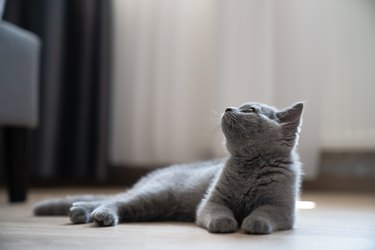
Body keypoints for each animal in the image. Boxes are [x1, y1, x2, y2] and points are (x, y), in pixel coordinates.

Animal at [33, 101, 304, 234]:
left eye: (249, 110)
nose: (228, 108)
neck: (250, 166)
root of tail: (157, 173)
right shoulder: (213, 201)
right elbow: (219, 212)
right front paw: (225, 224)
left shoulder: (281, 208)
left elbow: (264, 213)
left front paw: (253, 224)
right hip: (158, 194)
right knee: (115, 200)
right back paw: (97, 215)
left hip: (154, 205)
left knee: (113, 201)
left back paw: (79, 211)